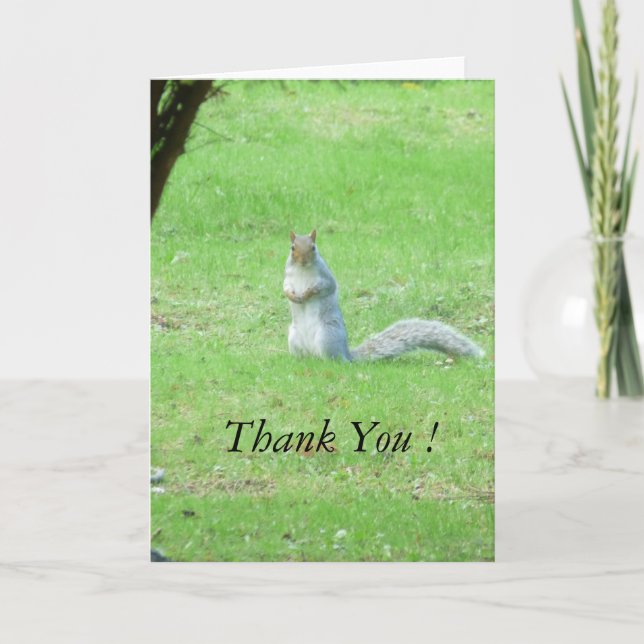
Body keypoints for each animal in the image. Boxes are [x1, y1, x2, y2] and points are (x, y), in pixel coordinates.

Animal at [283, 229, 484, 361]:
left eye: (313, 247)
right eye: (292, 247)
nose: (303, 260)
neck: (303, 270)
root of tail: (347, 354)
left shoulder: (325, 278)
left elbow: (325, 287)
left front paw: (307, 294)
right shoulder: (287, 277)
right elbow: (285, 288)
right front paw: (293, 296)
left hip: (326, 336)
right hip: (293, 337)